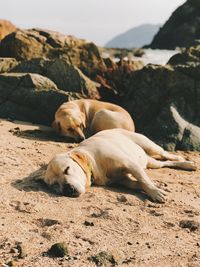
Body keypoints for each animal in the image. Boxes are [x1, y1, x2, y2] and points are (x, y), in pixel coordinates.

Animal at [43, 130, 195, 203]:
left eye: (67, 169)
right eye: (54, 185)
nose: (68, 189)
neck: (93, 161)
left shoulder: (130, 164)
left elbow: (144, 181)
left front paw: (155, 192)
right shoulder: (123, 180)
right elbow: (138, 183)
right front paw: (157, 189)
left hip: (149, 146)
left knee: (166, 154)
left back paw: (186, 162)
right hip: (151, 162)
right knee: (164, 163)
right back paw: (185, 164)